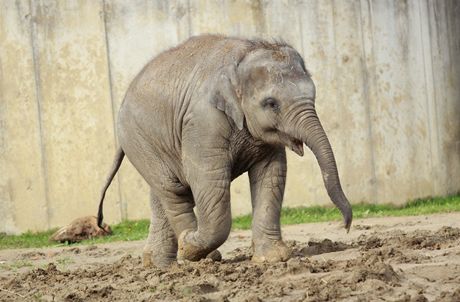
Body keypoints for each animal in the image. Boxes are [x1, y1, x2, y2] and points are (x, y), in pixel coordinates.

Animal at [97, 34, 352, 268]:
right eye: (271, 104)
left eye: (313, 95)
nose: (346, 225)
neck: (241, 58)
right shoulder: (203, 122)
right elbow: (208, 180)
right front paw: (190, 247)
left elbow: (272, 176)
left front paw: (272, 259)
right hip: (139, 139)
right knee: (174, 189)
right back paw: (192, 250)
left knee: (163, 193)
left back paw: (161, 264)